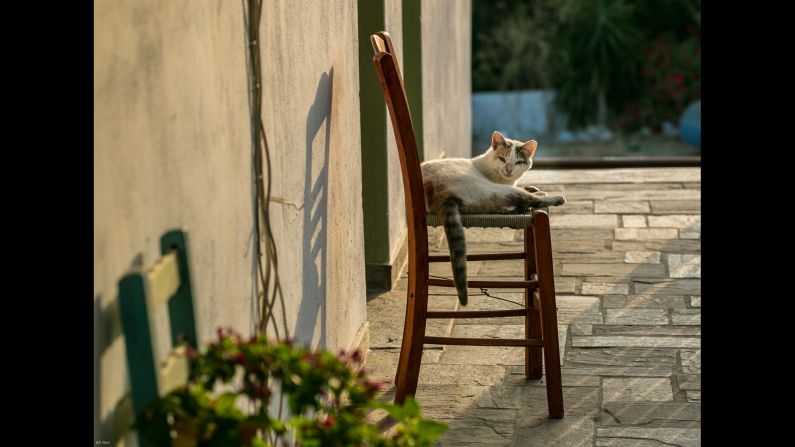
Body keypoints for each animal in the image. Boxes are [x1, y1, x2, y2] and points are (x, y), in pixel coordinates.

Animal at [422, 131, 564, 306]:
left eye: (518, 162)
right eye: (502, 159)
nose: (509, 170)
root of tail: (439, 191)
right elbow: (525, 194)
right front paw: (536, 192)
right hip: (492, 189)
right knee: (526, 199)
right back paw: (553, 197)